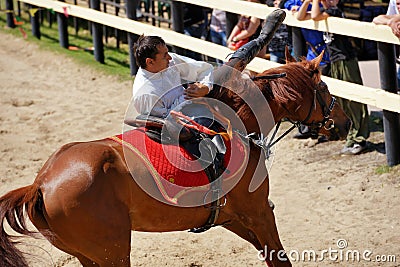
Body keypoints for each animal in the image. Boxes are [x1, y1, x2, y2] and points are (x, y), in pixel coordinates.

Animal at [0, 51, 350, 266]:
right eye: (324, 87)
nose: (345, 122)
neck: (231, 126)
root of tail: (40, 184)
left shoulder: (232, 217)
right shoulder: (258, 212)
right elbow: (279, 258)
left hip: (89, 255)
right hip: (113, 251)